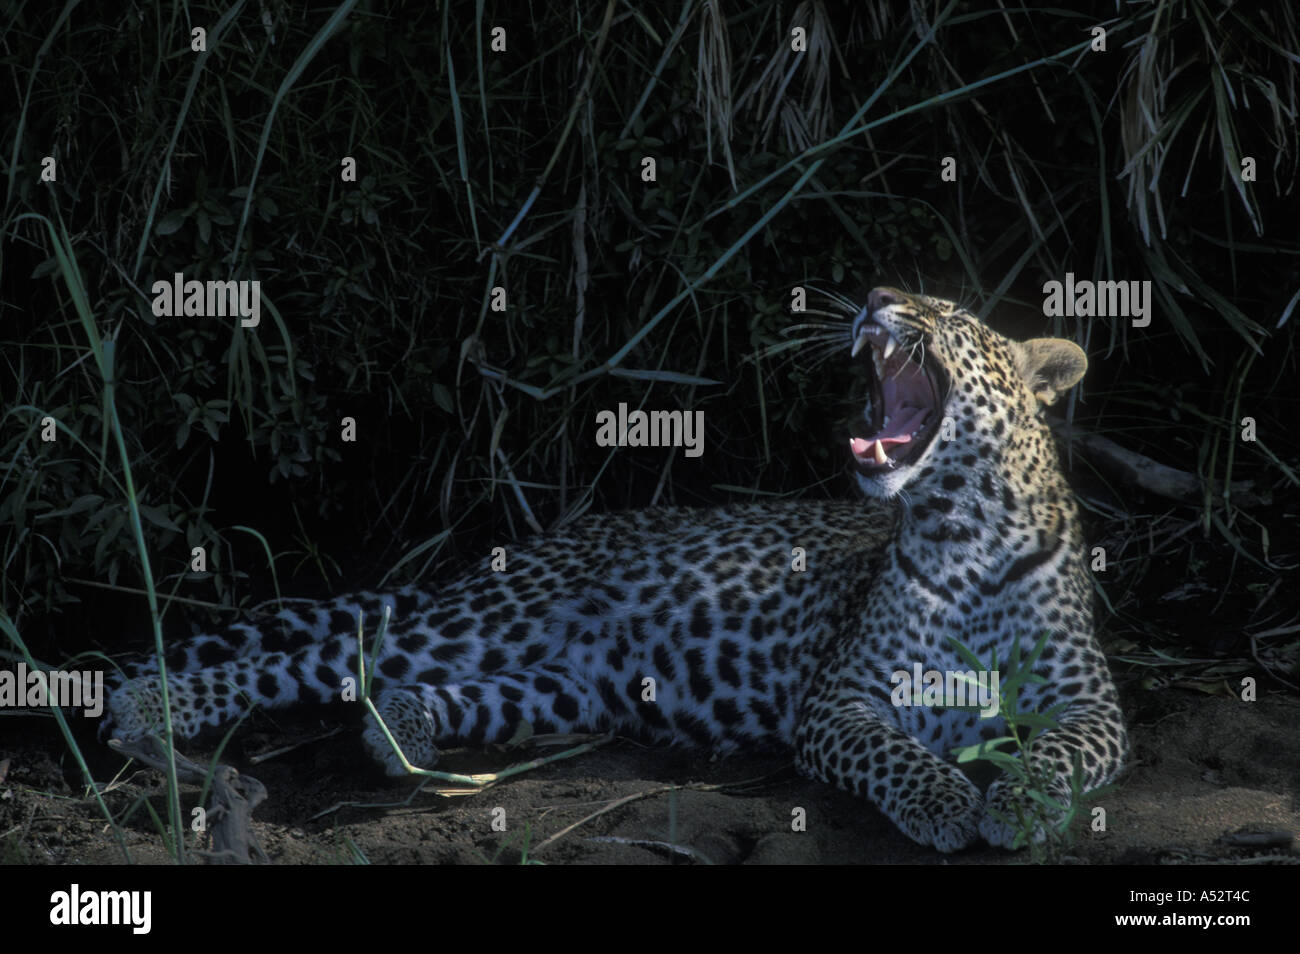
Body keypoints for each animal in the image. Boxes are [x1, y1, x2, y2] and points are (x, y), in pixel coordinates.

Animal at [103, 286, 1128, 853]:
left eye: (948, 313)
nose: (878, 296)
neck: (966, 527)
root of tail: (547, 541)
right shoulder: (843, 700)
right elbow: (897, 755)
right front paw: (949, 800)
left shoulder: (1089, 704)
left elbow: (1061, 754)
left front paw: (1017, 804)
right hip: (488, 620)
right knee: (310, 659)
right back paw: (147, 710)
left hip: (562, 682)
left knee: (403, 690)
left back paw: (408, 743)